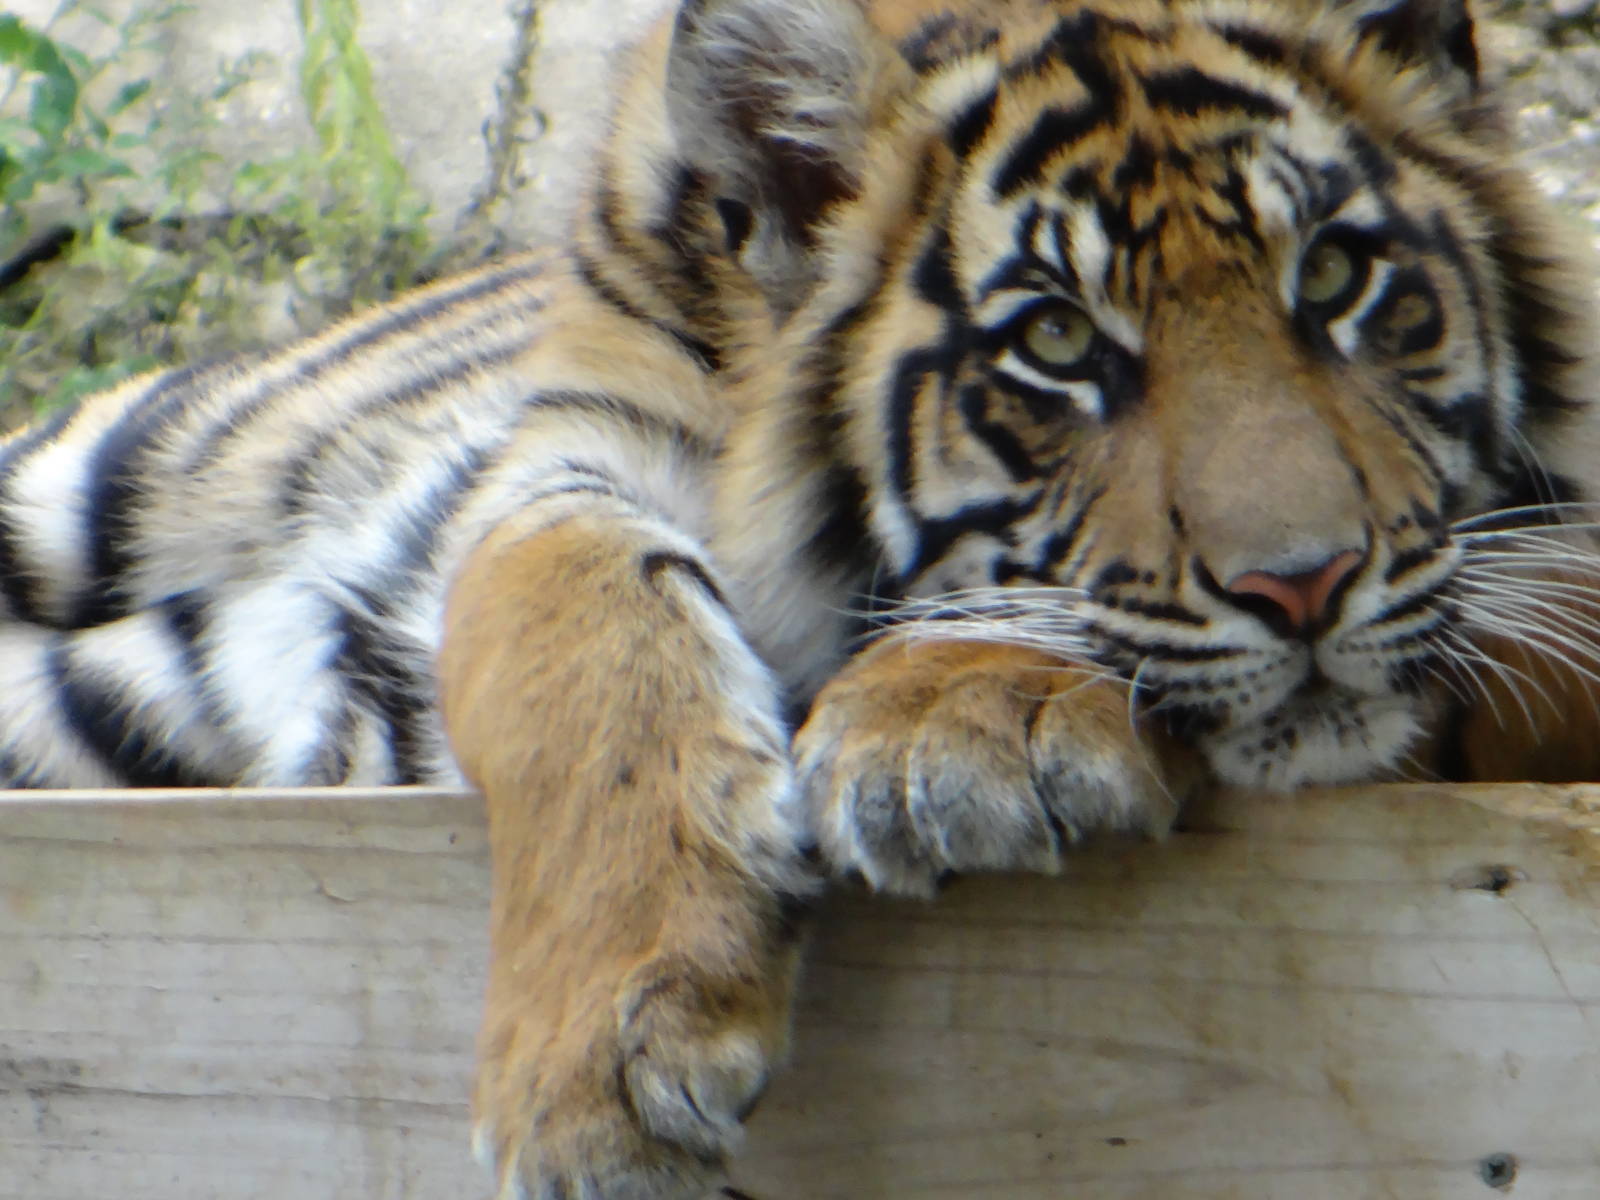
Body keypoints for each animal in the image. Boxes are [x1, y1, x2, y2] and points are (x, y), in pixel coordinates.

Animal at [4, 0, 1600, 1193]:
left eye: (1333, 276)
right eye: (1057, 344)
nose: (1306, 583)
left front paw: (958, 727)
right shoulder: (561, 460)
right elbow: (567, 634)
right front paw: (605, 1069)